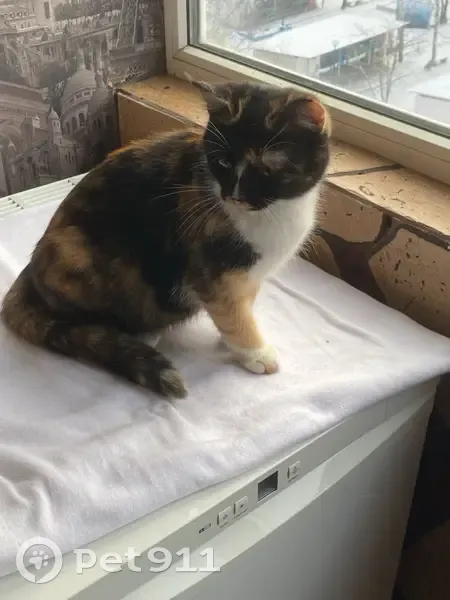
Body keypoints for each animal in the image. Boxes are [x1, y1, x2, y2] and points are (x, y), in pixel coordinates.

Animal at [0, 81, 331, 398]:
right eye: (222, 162)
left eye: (265, 168)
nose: (232, 195)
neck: (276, 212)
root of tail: (28, 275)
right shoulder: (209, 268)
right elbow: (231, 310)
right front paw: (255, 352)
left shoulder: (248, 274)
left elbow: (241, 305)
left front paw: (234, 339)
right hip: (79, 254)